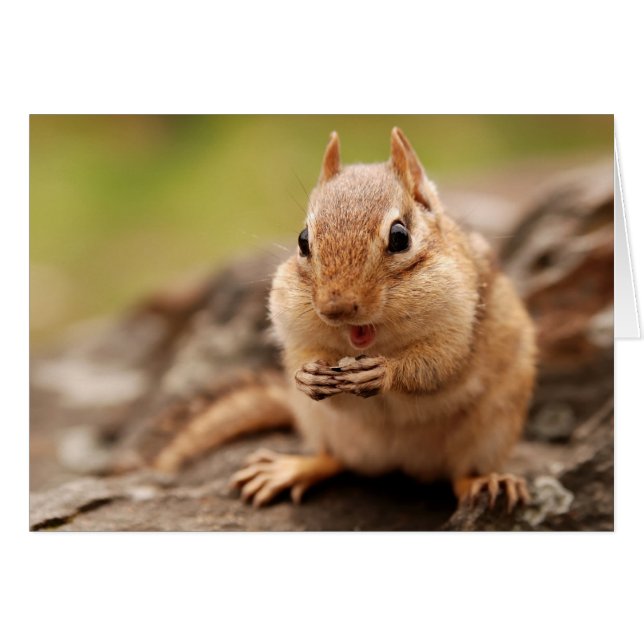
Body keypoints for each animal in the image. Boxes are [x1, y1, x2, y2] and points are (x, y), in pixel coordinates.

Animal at [153, 127, 537, 511]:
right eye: (302, 240)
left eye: (400, 236)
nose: (335, 308)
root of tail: (400, 464)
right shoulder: (294, 329)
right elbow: (302, 357)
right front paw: (306, 376)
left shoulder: (459, 326)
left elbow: (436, 368)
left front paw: (383, 372)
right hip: (323, 427)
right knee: (333, 459)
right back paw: (291, 468)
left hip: (490, 432)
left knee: (460, 476)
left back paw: (487, 481)